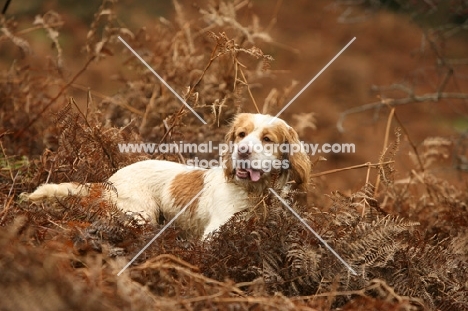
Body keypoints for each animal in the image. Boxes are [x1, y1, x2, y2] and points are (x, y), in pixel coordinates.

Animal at [24, 114, 310, 239]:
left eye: (267, 139)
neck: (256, 192)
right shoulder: (215, 232)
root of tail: (109, 182)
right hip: (141, 215)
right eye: (241, 134)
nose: (242, 151)